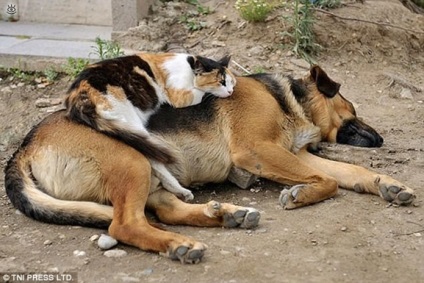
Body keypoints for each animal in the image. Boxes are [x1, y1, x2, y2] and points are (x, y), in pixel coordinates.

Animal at [64, 52, 237, 201]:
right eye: (221, 82)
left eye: (231, 82)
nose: (230, 91)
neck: (189, 66)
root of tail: (79, 95)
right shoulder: (180, 96)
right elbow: (200, 93)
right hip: (130, 121)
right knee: (153, 158)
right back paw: (181, 190)